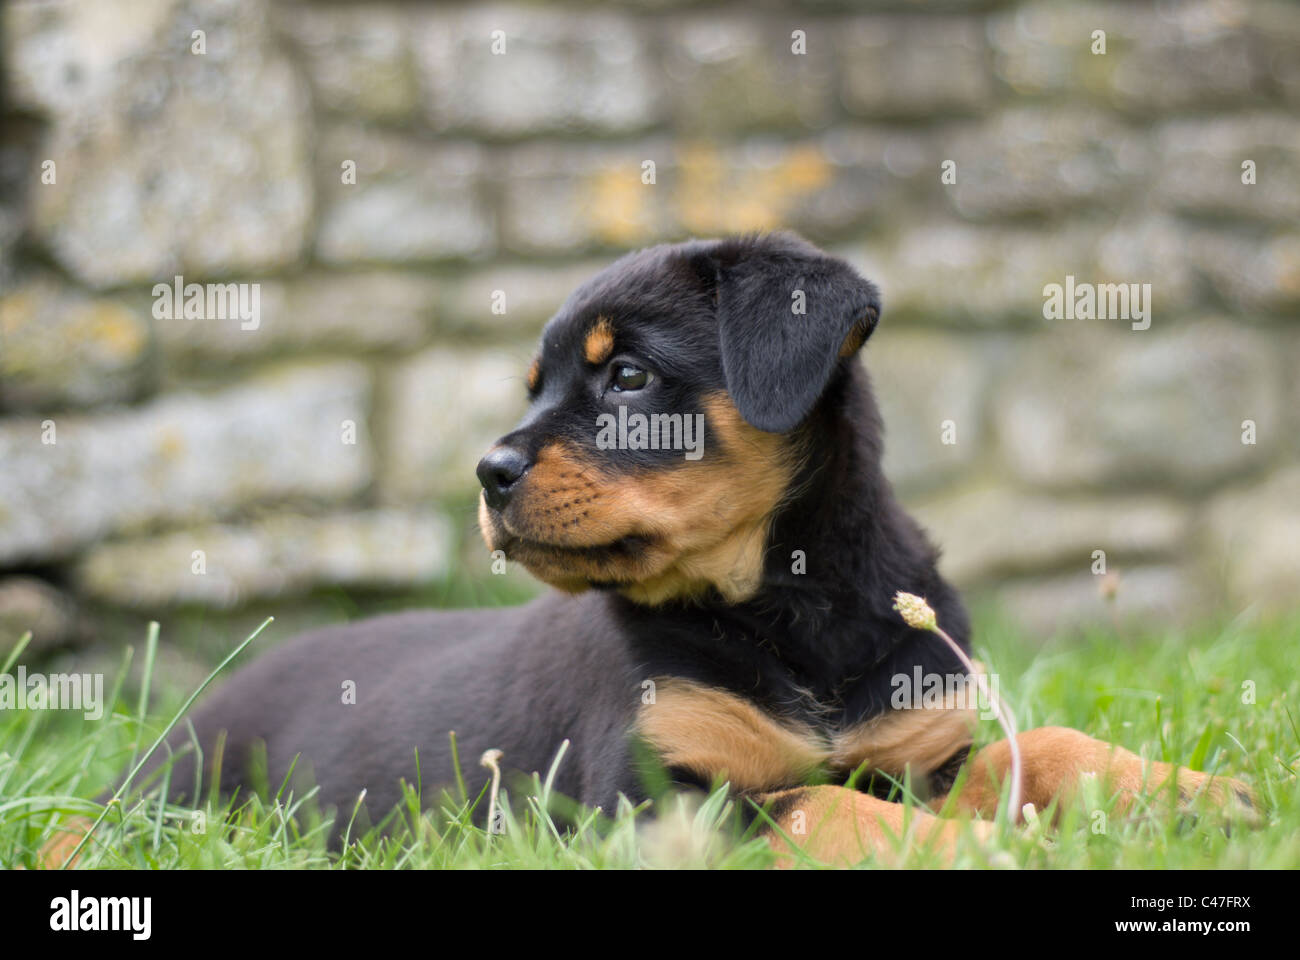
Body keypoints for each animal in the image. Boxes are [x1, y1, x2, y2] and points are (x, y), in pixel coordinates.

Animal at [63, 230, 1258, 858]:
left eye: (628, 375)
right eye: (535, 386)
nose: (488, 475)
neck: (791, 610)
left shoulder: (923, 741)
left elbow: (1037, 746)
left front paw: (1189, 792)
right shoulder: (651, 800)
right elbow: (814, 802)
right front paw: (966, 849)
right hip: (180, 790)